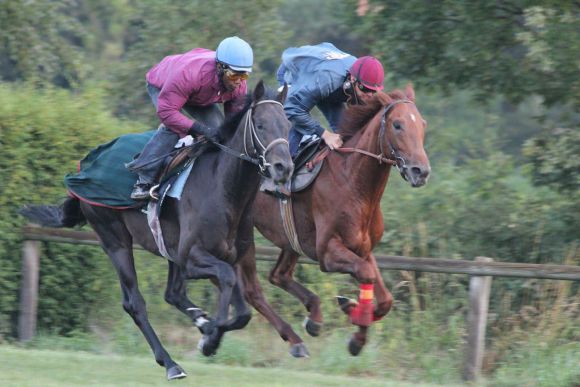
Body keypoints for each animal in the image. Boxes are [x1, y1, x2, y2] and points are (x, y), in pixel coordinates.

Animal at [21, 80, 294, 380]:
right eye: (260, 124)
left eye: (287, 125)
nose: (284, 167)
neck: (224, 189)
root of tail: (83, 167)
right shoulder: (192, 258)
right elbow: (225, 281)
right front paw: (210, 337)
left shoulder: (229, 257)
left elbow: (242, 310)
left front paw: (209, 331)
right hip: (114, 239)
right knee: (135, 303)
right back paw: (171, 363)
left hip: (167, 248)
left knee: (172, 293)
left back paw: (199, 320)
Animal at [237, 84, 430, 358]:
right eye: (397, 125)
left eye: (422, 124)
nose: (420, 171)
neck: (354, 183)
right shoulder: (327, 252)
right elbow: (367, 275)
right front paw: (355, 323)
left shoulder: (362, 248)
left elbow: (385, 299)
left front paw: (353, 318)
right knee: (252, 289)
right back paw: (295, 339)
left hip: (290, 240)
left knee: (278, 275)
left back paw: (314, 316)